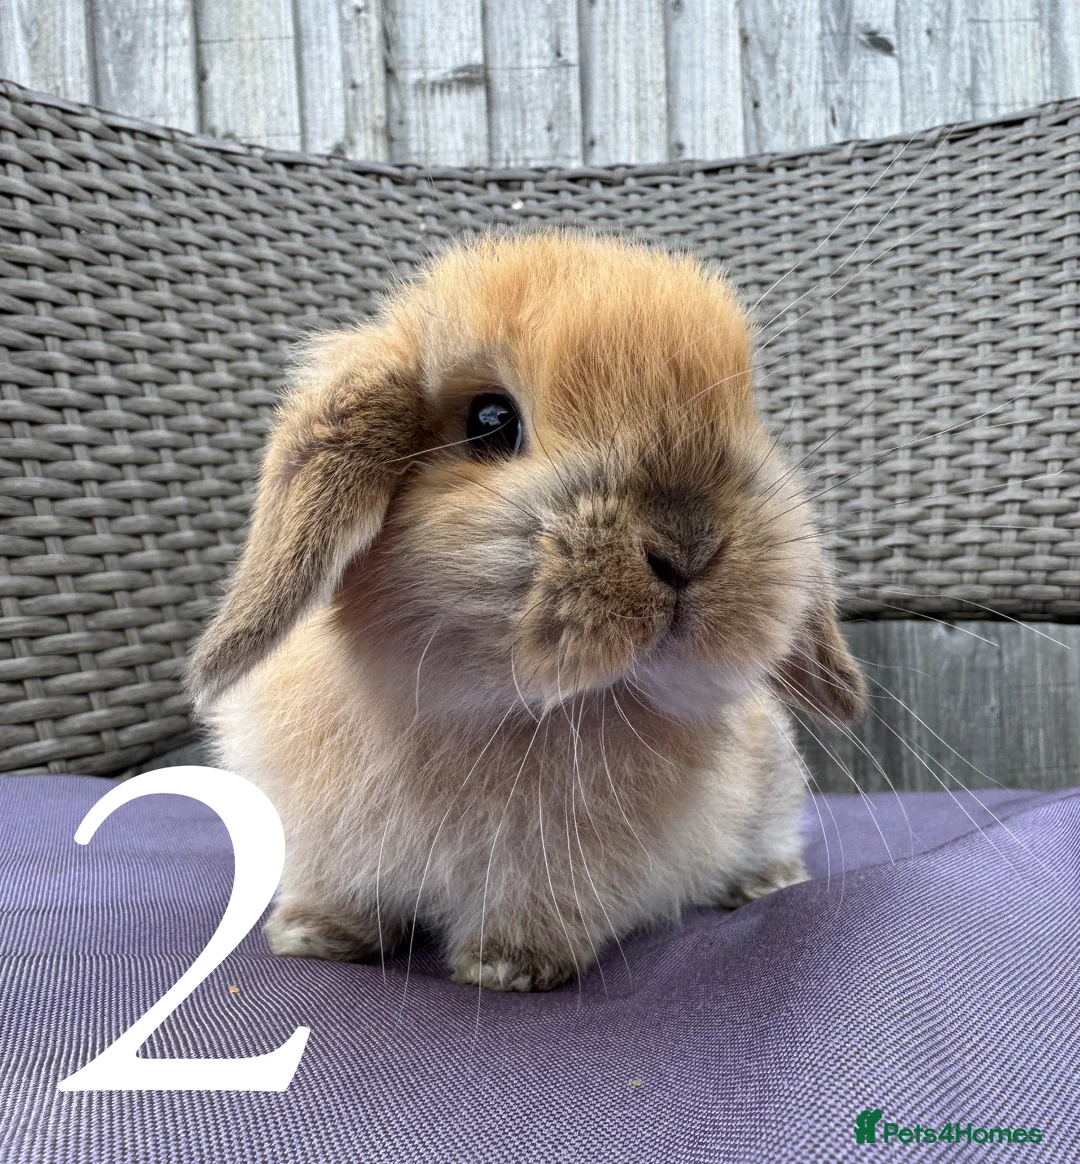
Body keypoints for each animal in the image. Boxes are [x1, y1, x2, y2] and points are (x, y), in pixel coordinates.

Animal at [187, 230, 866, 992]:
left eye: (747, 416)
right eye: (491, 422)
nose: (688, 544)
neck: (486, 708)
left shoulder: (557, 873)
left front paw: (507, 967)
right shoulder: (318, 839)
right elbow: (338, 891)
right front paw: (314, 935)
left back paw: (767, 882)